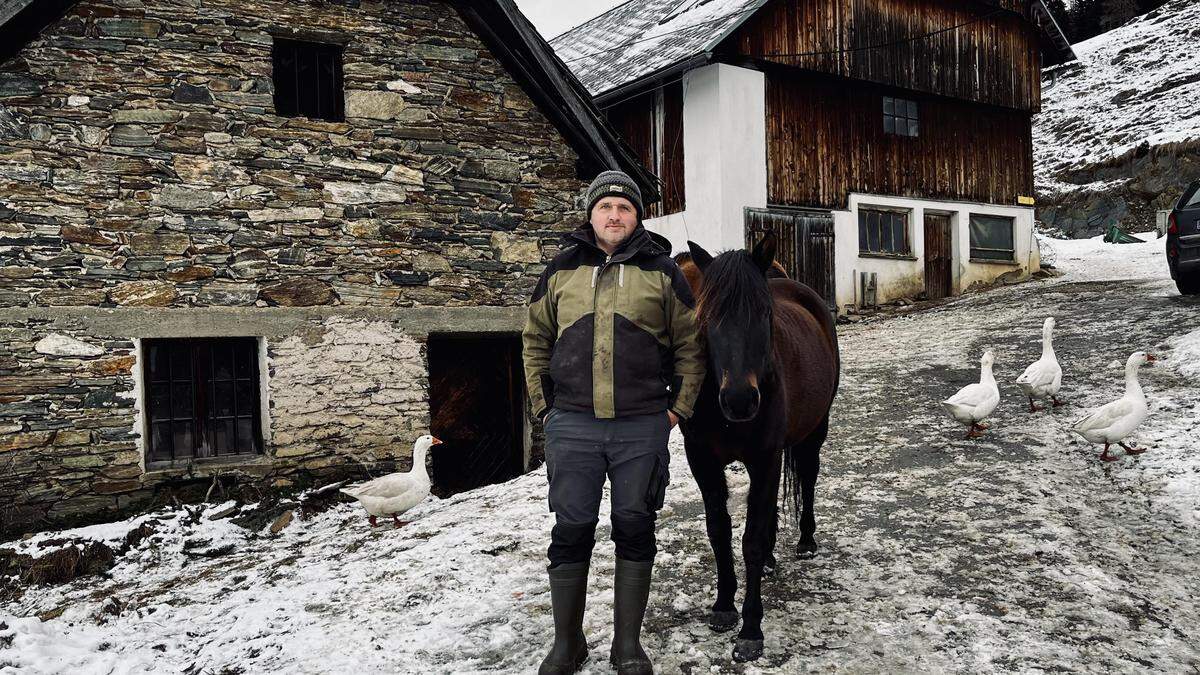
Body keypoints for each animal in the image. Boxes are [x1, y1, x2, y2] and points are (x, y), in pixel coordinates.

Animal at [676, 234, 835, 658]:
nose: (739, 400)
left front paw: (750, 629)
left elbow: (748, 540)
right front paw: (723, 606)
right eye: (706, 317)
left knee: (808, 479)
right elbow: (719, 530)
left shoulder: (764, 458)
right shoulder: (702, 460)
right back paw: (771, 555)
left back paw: (805, 541)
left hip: (814, 433)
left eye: (765, 314)